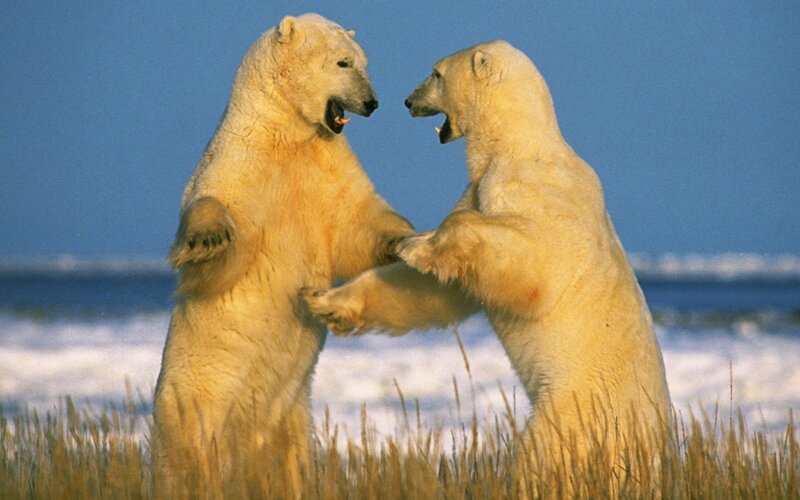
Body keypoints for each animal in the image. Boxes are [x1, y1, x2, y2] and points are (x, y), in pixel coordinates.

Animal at [151, 13, 413, 496]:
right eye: (343, 62)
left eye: (363, 62)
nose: (371, 102)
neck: (286, 130)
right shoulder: (241, 160)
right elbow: (219, 229)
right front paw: (207, 238)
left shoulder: (325, 161)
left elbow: (356, 219)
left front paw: (405, 239)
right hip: (195, 402)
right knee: (193, 454)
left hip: (291, 413)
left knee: (291, 456)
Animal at [301, 40, 672, 478]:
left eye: (436, 73)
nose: (407, 101)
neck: (517, 145)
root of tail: (651, 440)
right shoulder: (478, 189)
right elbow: (435, 288)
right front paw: (323, 300)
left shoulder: (528, 191)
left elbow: (533, 268)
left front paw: (417, 245)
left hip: (578, 408)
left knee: (545, 455)